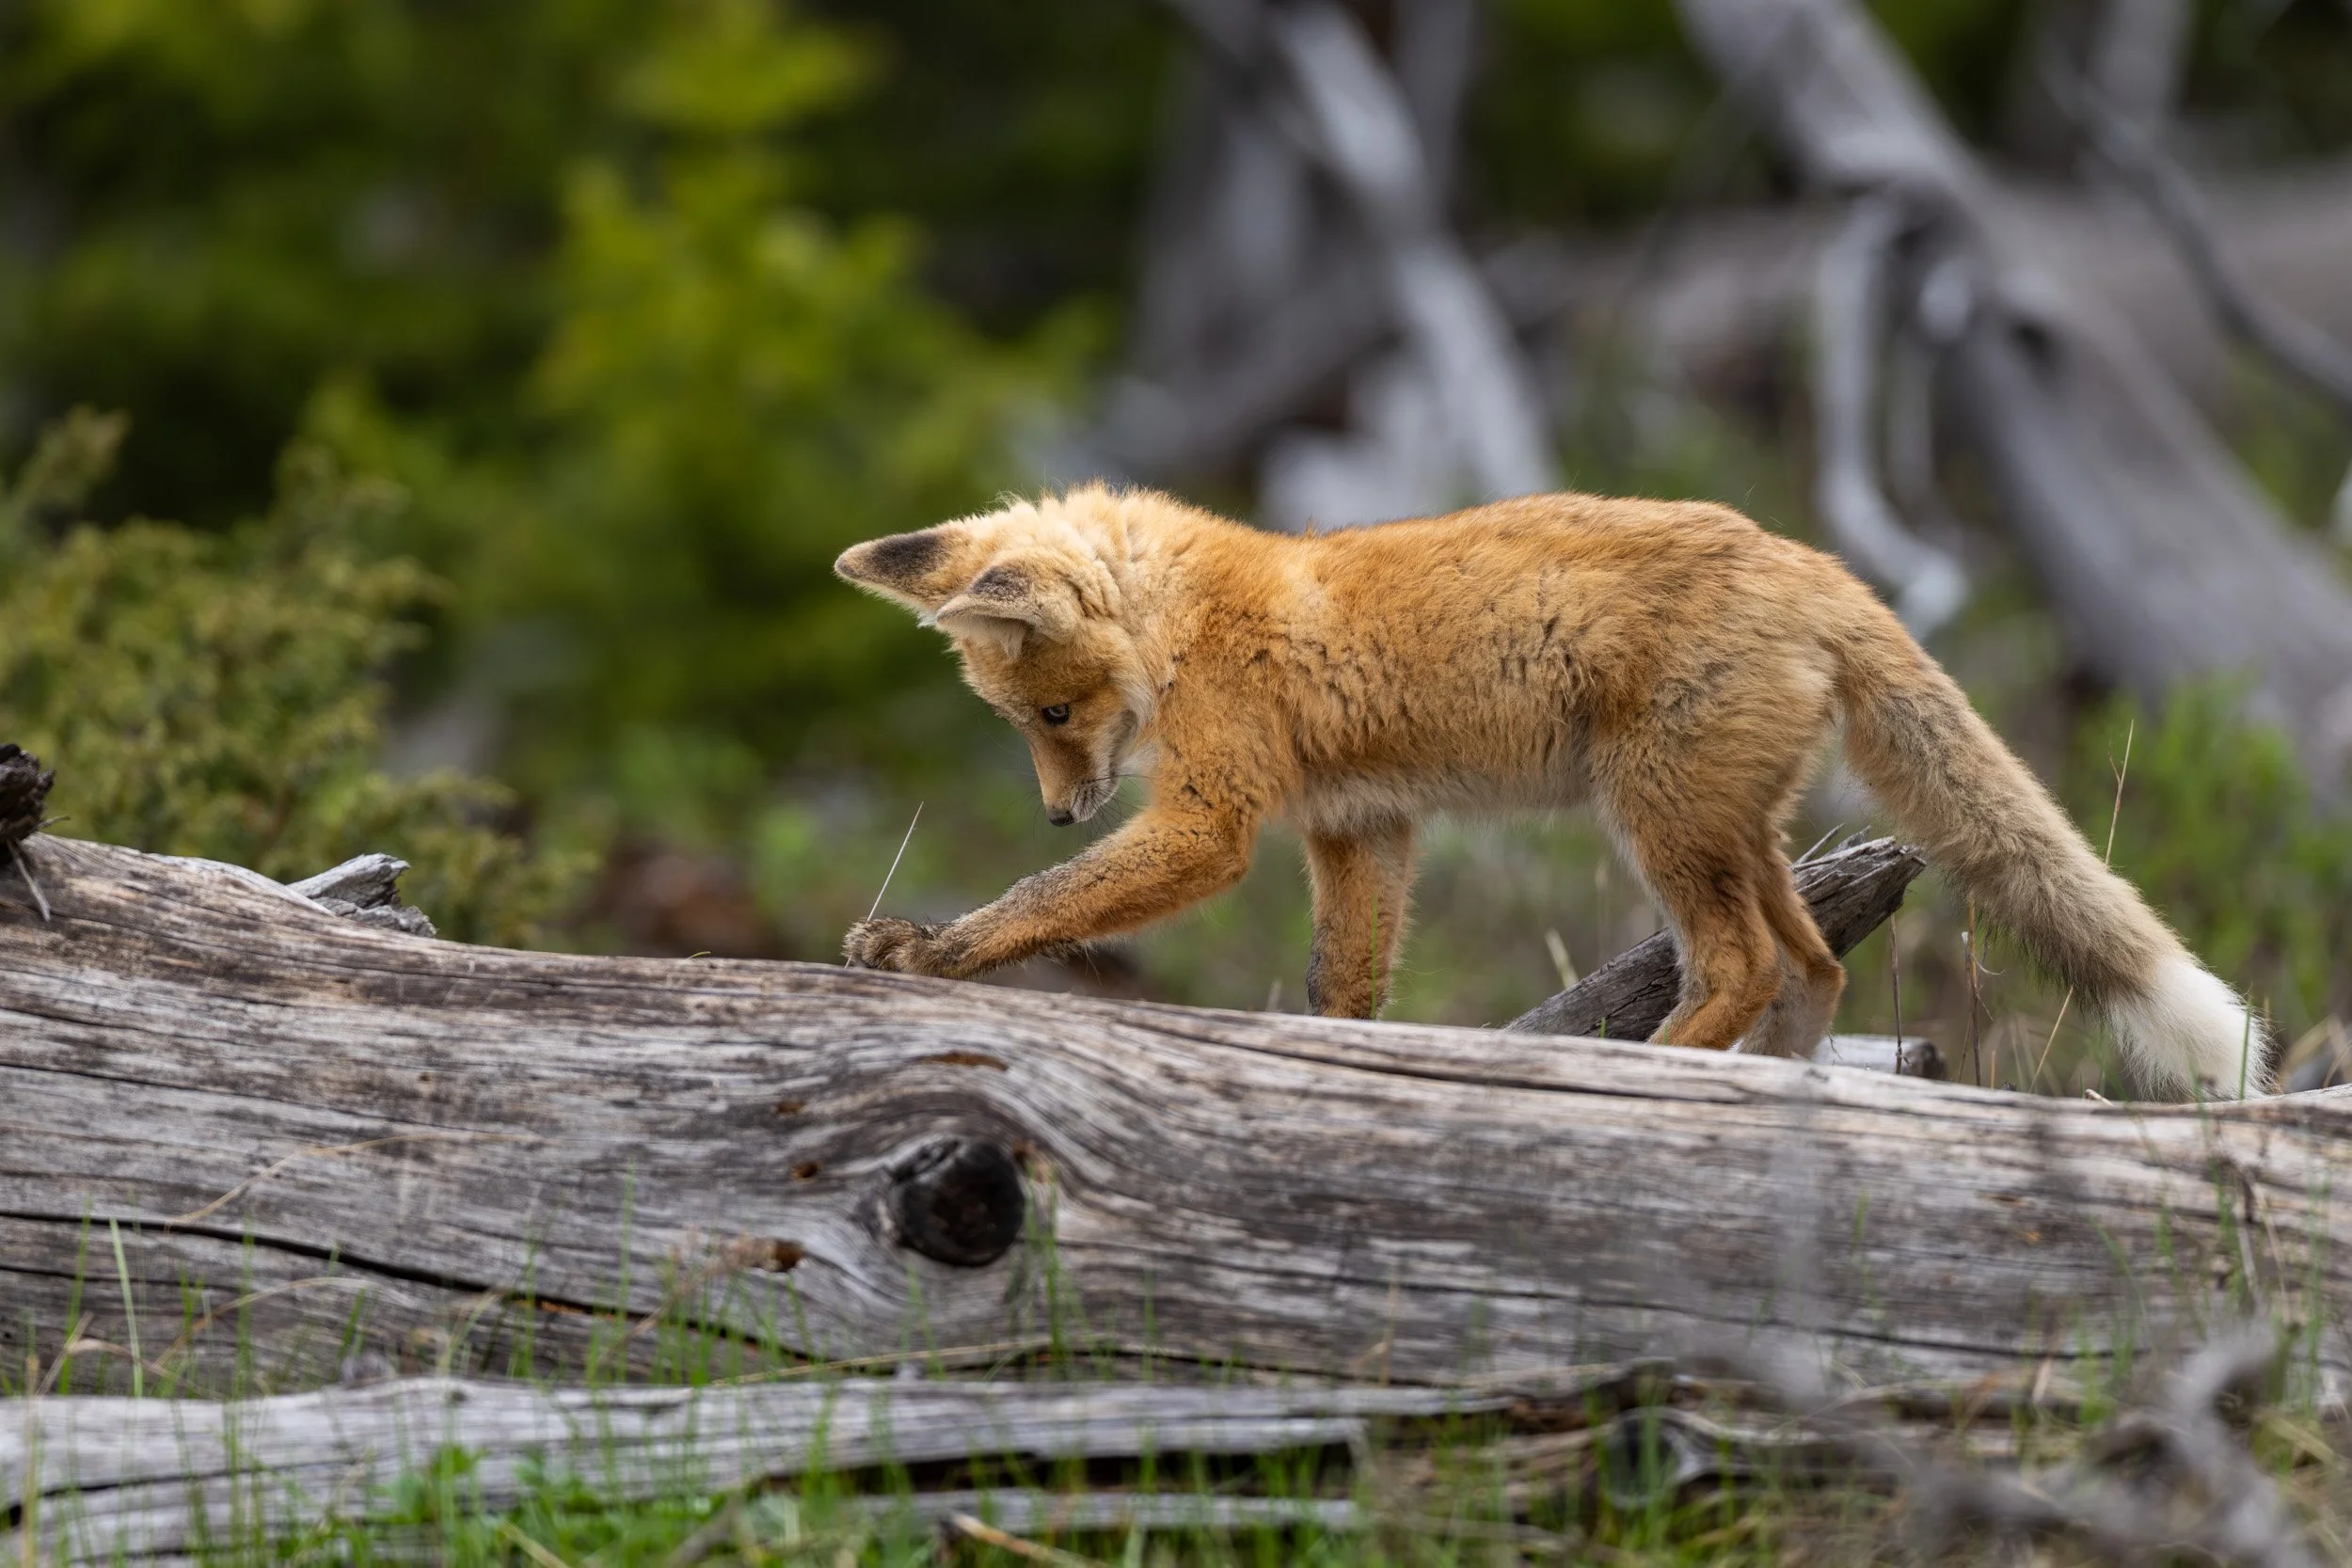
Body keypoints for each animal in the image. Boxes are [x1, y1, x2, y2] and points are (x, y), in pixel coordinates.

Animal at [833, 483, 2269, 1099]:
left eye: (1053, 715)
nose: (1059, 810)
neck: (1180, 612)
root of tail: (1811, 560)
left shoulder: (1215, 818)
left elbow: (1037, 903)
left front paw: (931, 948)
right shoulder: (1361, 826)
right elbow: (1340, 989)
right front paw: (1330, 1073)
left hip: (1659, 820)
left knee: (1744, 964)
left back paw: (1652, 1075)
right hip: (1729, 826)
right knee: (1814, 963)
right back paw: (1789, 1085)